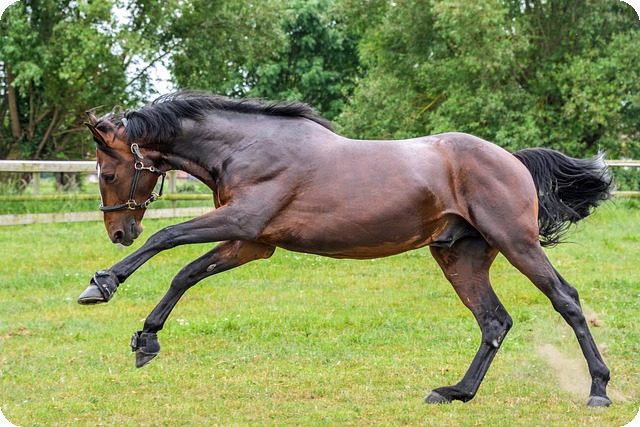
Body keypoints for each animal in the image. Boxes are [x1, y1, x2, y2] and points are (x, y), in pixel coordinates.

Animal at [78, 91, 613, 407]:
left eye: (108, 173)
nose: (118, 232)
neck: (245, 148)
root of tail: (512, 160)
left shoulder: (242, 222)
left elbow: (165, 237)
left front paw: (102, 284)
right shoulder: (251, 243)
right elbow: (185, 273)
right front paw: (146, 339)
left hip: (516, 242)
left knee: (565, 299)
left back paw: (599, 390)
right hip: (460, 257)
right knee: (494, 321)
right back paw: (457, 393)